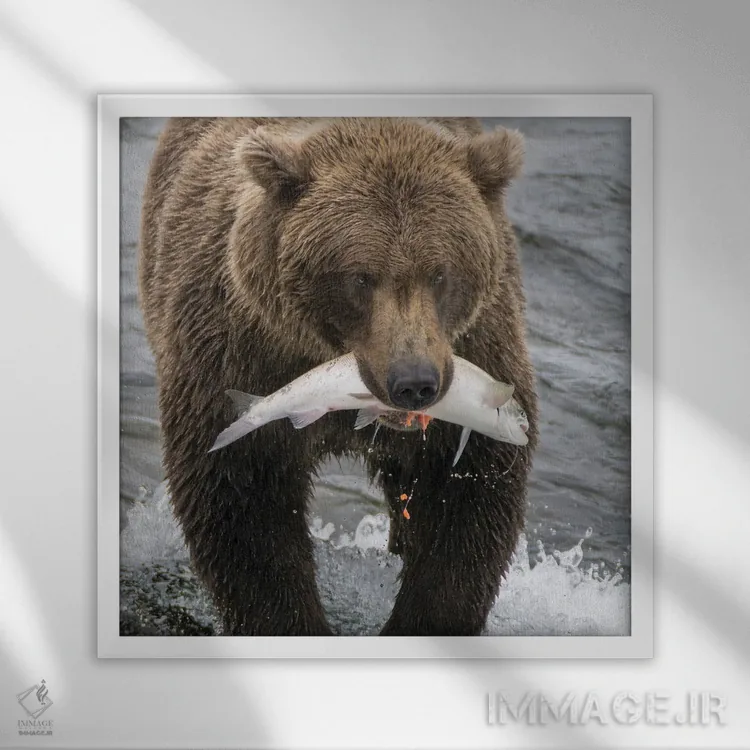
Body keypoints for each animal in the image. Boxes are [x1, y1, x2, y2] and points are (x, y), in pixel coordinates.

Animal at [138, 117, 538, 636]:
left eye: (441, 273)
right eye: (361, 277)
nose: (414, 382)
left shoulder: (481, 348)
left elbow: (469, 504)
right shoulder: (232, 348)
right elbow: (241, 509)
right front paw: (292, 619)